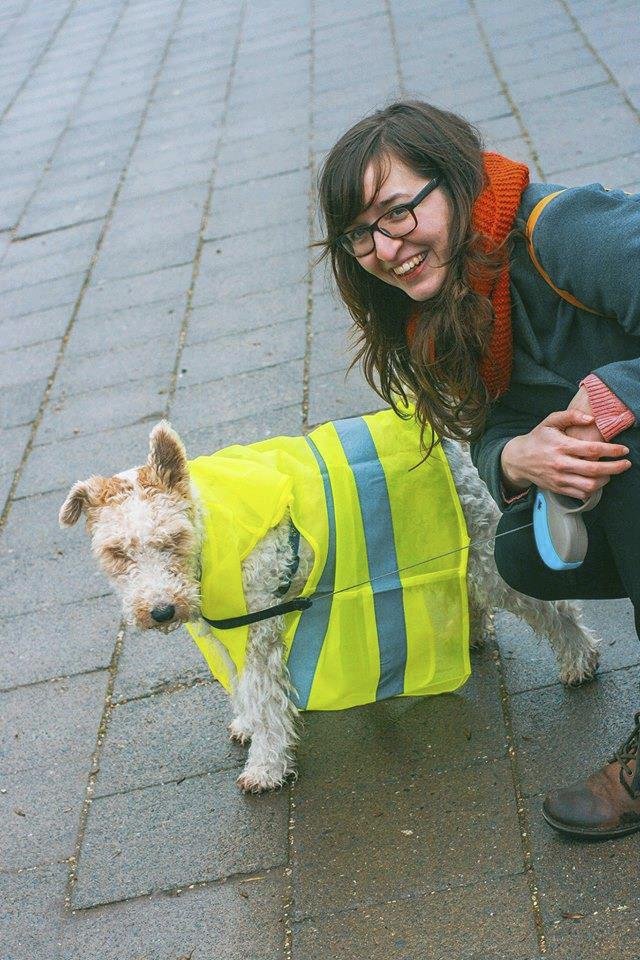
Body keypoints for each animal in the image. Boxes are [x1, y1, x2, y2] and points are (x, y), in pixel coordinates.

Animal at [58, 416, 600, 792]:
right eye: (116, 552)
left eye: (172, 538)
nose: (161, 611)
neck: (209, 530)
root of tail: (448, 439)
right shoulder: (229, 630)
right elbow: (243, 690)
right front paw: (246, 725)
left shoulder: (258, 630)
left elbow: (266, 700)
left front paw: (266, 767)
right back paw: (472, 635)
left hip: (488, 558)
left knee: (556, 610)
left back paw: (580, 661)